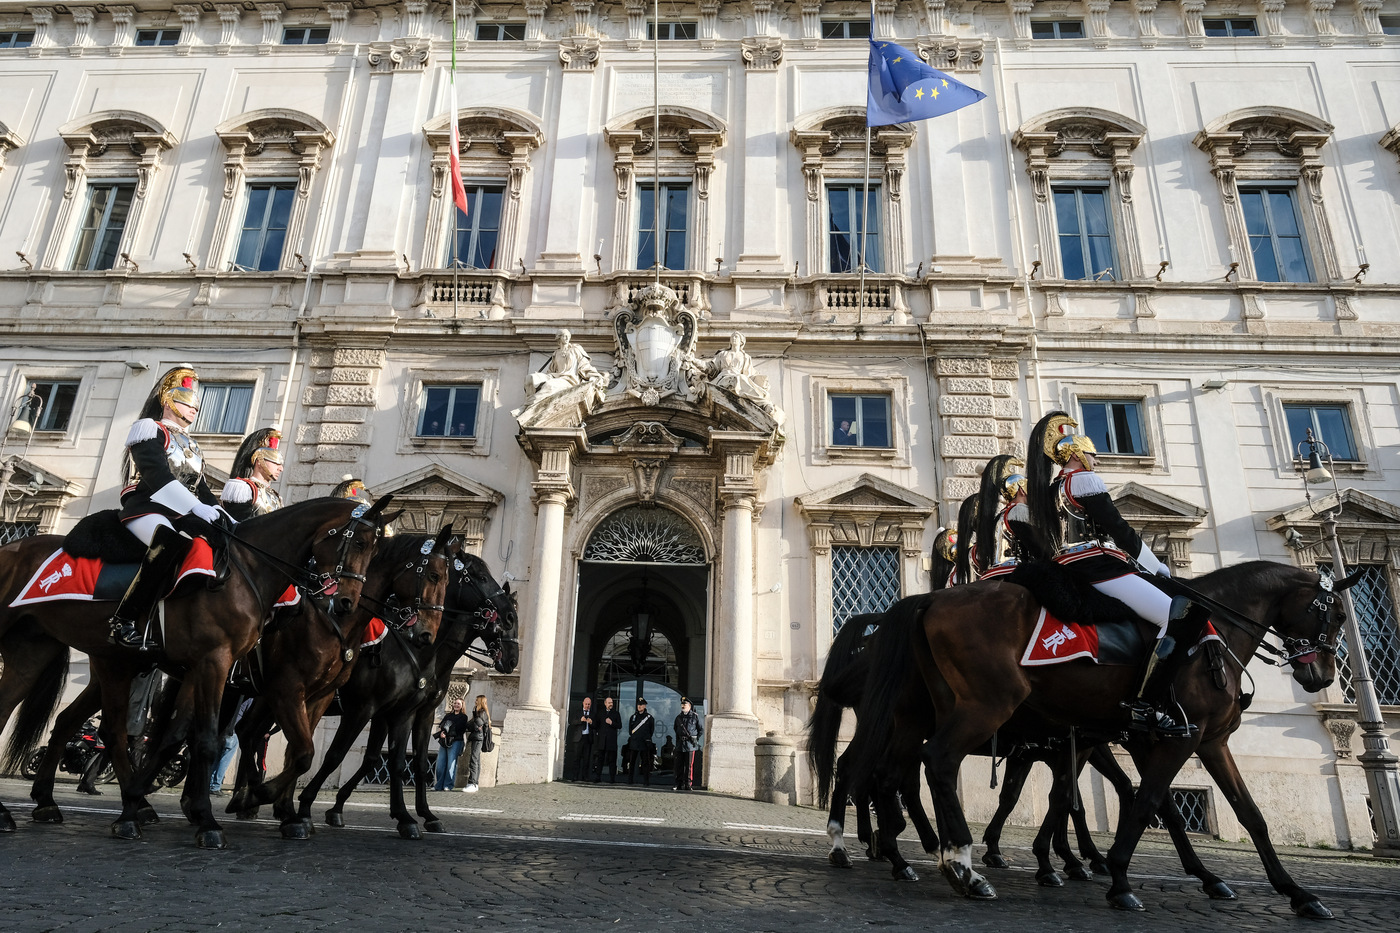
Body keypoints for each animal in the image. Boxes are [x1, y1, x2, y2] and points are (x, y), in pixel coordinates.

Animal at [0, 498, 394, 846]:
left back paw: (45, 805)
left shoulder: (205, 670)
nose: (346, 602)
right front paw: (212, 818)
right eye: (360, 542)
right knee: (108, 730)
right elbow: (207, 741)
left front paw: (140, 803)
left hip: (42, 653)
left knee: (65, 721)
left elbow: (177, 737)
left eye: (377, 550)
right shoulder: (225, 667)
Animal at [221, 523, 456, 834]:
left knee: (247, 731)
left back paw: (248, 799)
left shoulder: (399, 712)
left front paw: (408, 817)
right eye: (434, 575)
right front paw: (305, 807)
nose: (426, 635)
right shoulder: (359, 708)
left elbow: (392, 761)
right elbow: (332, 754)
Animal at [845, 554, 1360, 913]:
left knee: (898, 774)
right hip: (983, 707)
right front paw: (1117, 879)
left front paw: (1295, 893)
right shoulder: (1175, 738)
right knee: (934, 762)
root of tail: (930, 598)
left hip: (928, 715)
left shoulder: (1196, 741)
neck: (1212, 633)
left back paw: (919, 857)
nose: (1321, 675)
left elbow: (1243, 813)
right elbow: (1144, 801)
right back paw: (959, 866)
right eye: (1336, 615)